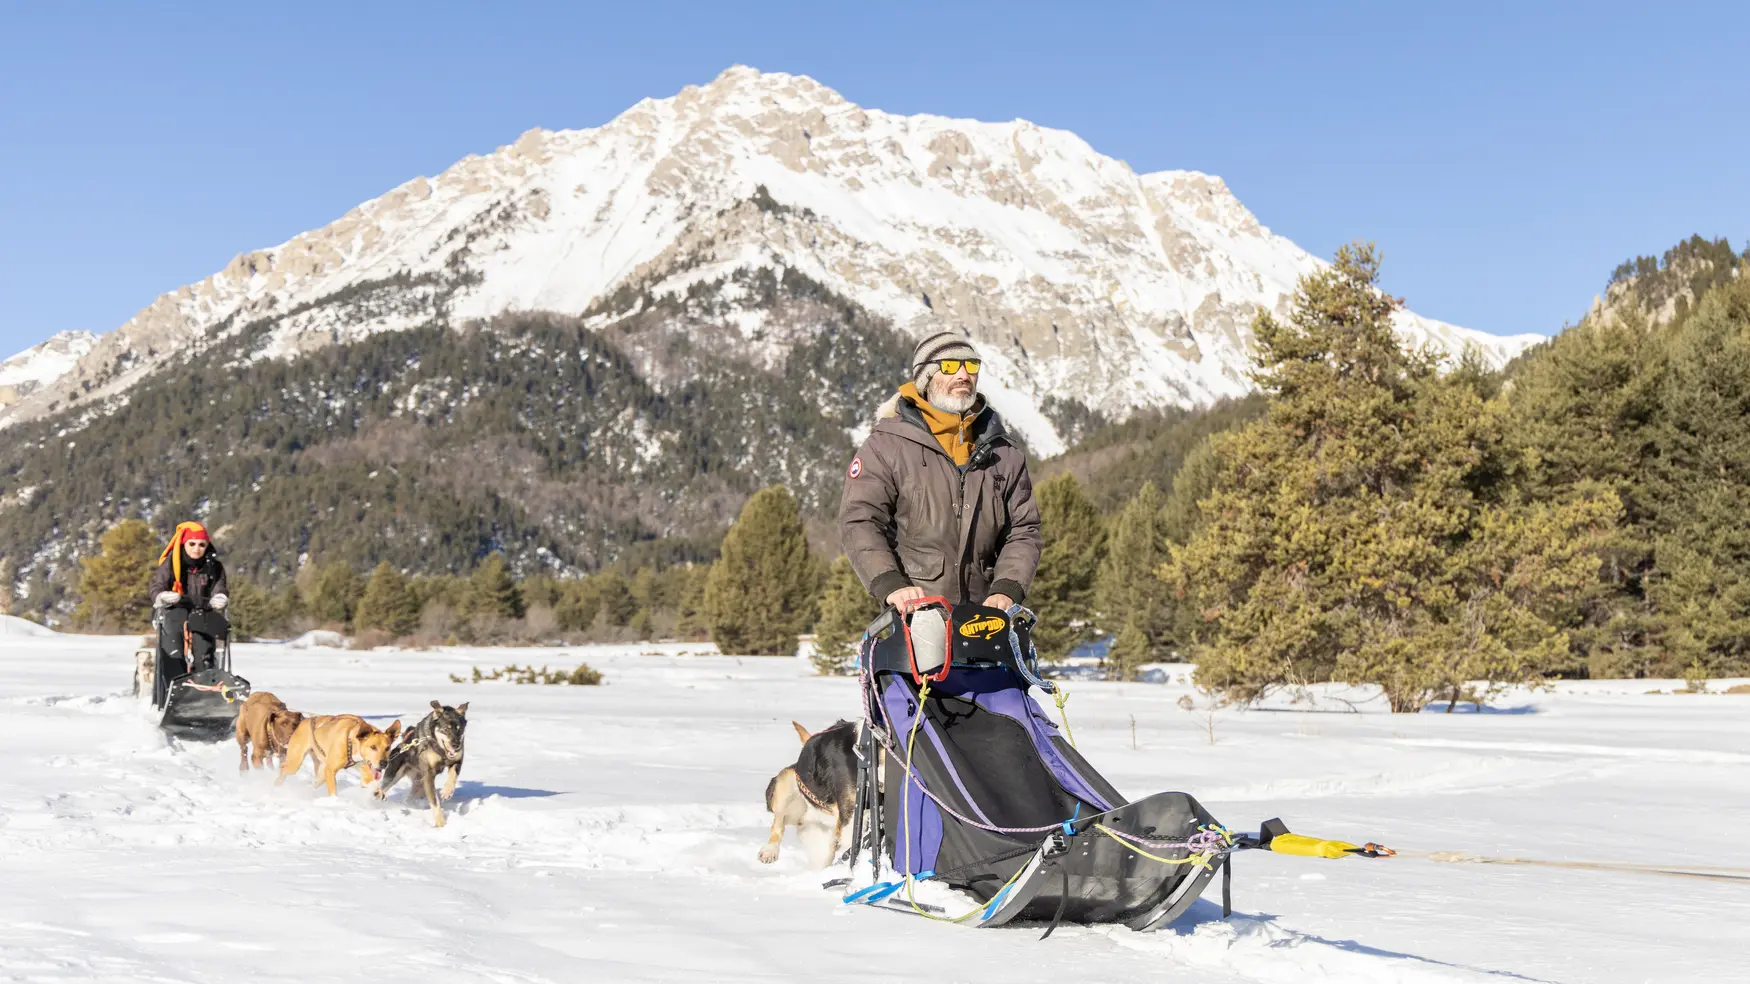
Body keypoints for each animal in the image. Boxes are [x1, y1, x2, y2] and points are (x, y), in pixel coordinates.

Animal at [372, 693, 465, 822]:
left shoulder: (457, 761)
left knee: (409, 798)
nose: (456, 745)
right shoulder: (429, 774)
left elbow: (453, 776)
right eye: (446, 729)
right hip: (394, 777)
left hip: (420, 785)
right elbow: (435, 803)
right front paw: (441, 823)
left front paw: (447, 791)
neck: (440, 750)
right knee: (379, 792)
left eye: (460, 729)